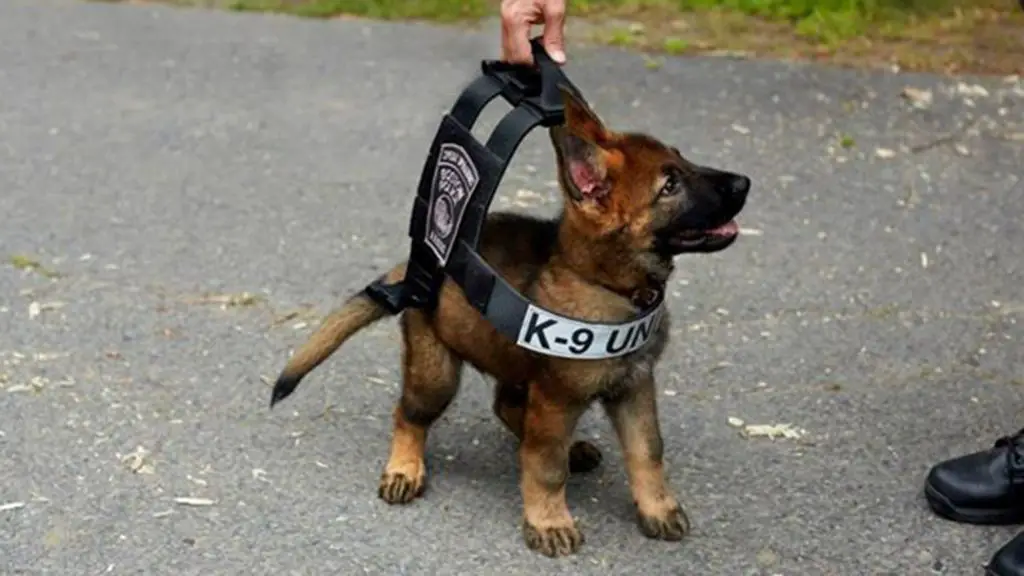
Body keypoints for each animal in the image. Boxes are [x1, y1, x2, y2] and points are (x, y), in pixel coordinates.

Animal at [270, 86, 753, 557]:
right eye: (670, 185)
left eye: (683, 160)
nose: (745, 182)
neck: (606, 284)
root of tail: (414, 267)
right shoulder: (557, 399)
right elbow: (546, 466)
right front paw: (549, 521)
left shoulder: (635, 386)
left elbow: (647, 451)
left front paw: (657, 507)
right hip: (436, 373)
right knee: (410, 414)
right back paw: (405, 467)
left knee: (507, 407)